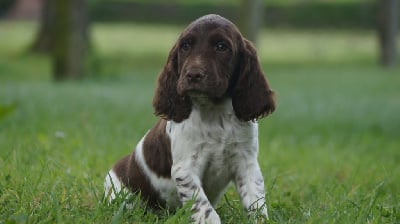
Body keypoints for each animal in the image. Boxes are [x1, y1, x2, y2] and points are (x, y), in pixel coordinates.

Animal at [104, 14, 276, 224]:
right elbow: (203, 207)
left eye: (221, 46)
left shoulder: (247, 162)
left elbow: (255, 199)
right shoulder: (186, 168)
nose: (193, 74)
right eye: (185, 46)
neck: (215, 112)